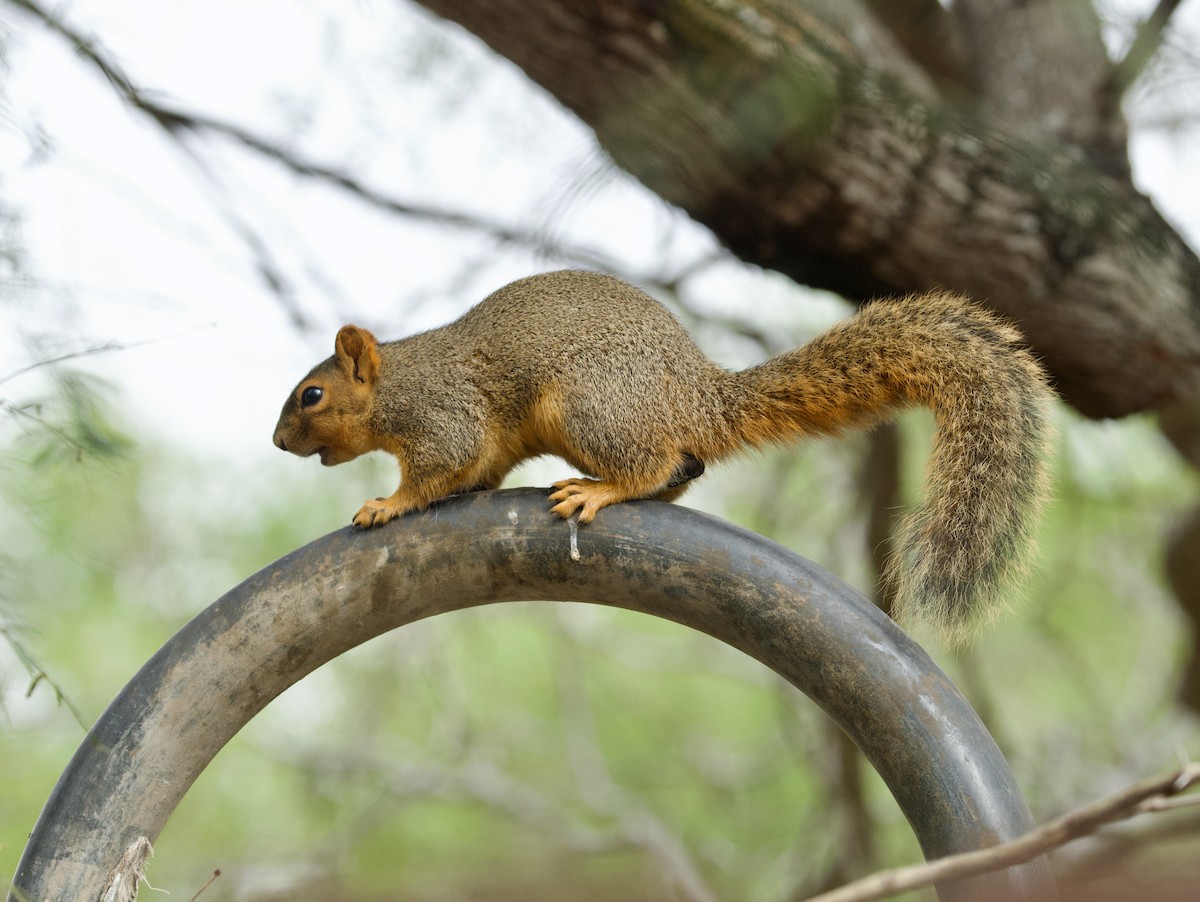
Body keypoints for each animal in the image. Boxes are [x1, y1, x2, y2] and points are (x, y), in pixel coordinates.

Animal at [274, 269, 1053, 641]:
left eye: (312, 395)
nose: (278, 442)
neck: (397, 382)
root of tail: (696, 395)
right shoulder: (480, 445)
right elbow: (479, 471)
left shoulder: (444, 416)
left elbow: (436, 468)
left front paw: (386, 503)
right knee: (683, 470)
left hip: (591, 405)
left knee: (654, 465)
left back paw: (598, 489)